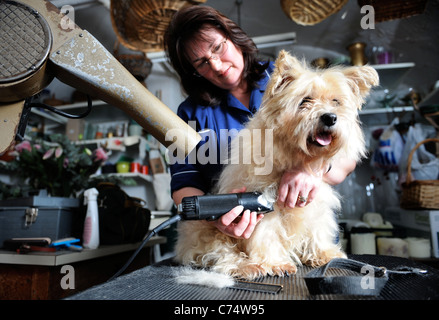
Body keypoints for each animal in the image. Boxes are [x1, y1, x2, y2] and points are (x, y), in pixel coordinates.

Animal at [174, 50, 380, 280]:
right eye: (305, 100)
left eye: (336, 101)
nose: (330, 117)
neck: (298, 157)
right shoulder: (264, 207)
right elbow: (266, 235)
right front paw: (275, 263)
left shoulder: (314, 203)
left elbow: (317, 230)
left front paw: (324, 254)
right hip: (207, 232)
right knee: (221, 255)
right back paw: (248, 266)